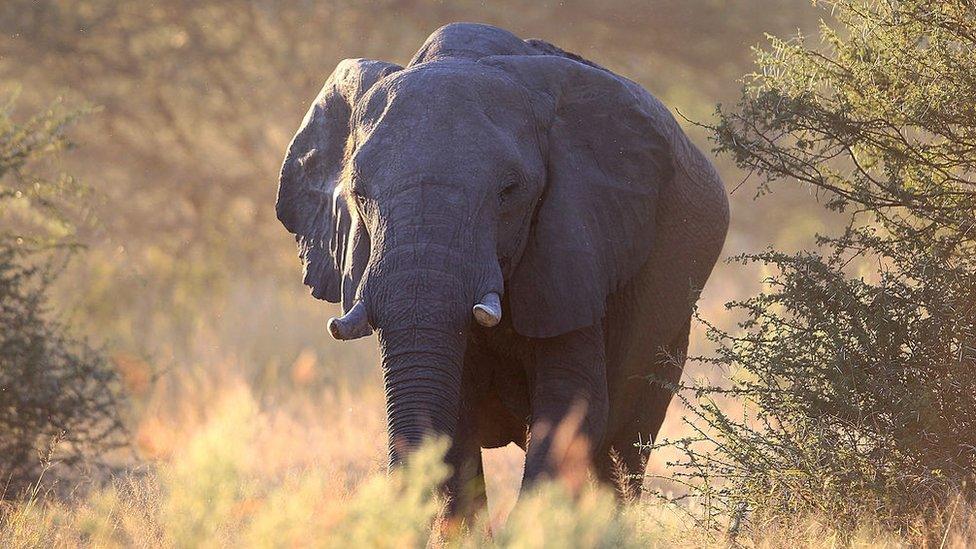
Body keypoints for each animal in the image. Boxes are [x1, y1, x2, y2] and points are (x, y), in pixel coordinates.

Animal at [278, 22, 728, 512]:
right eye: (359, 194)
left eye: (509, 191)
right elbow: (451, 421)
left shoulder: (574, 245)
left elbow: (572, 406)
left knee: (625, 442)